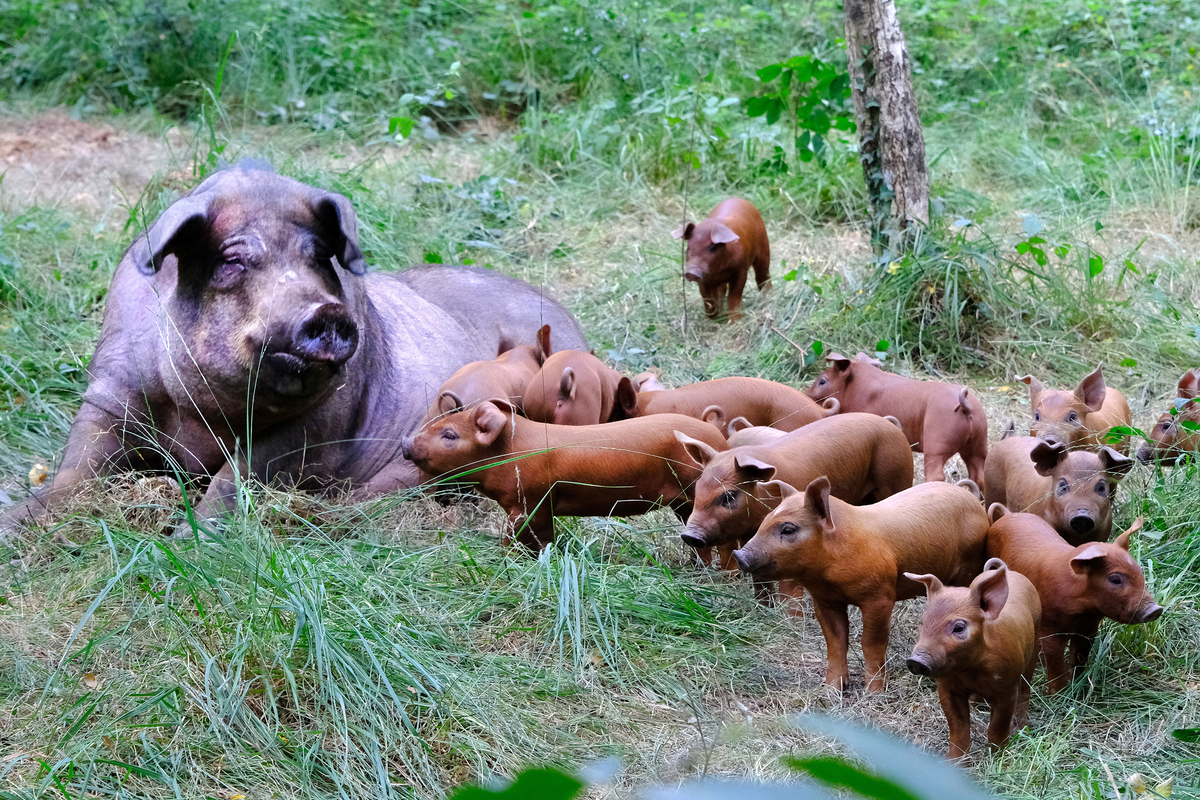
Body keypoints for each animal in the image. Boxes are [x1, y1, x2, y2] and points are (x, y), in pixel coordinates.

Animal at [2, 165, 588, 534]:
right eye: (233, 260)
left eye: (318, 255)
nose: (325, 311)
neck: (201, 417)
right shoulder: (109, 390)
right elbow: (77, 467)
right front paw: (15, 523)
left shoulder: (320, 421)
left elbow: (238, 476)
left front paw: (189, 538)